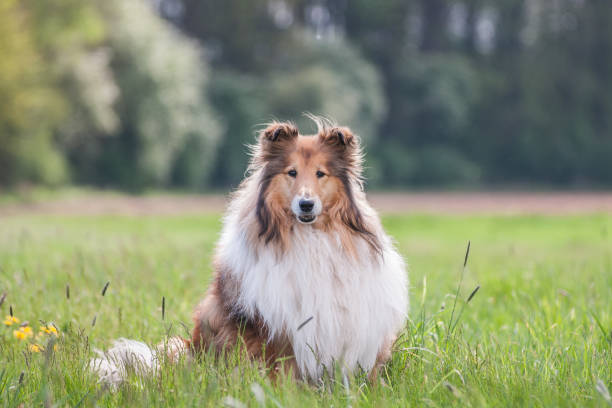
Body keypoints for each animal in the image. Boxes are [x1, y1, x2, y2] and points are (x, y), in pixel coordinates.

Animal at [89, 117, 406, 386]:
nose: (306, 205)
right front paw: (284, 392)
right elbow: (282, 367)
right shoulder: (276, 325)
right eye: (292, 173)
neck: (310, 236)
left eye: (321, 174)